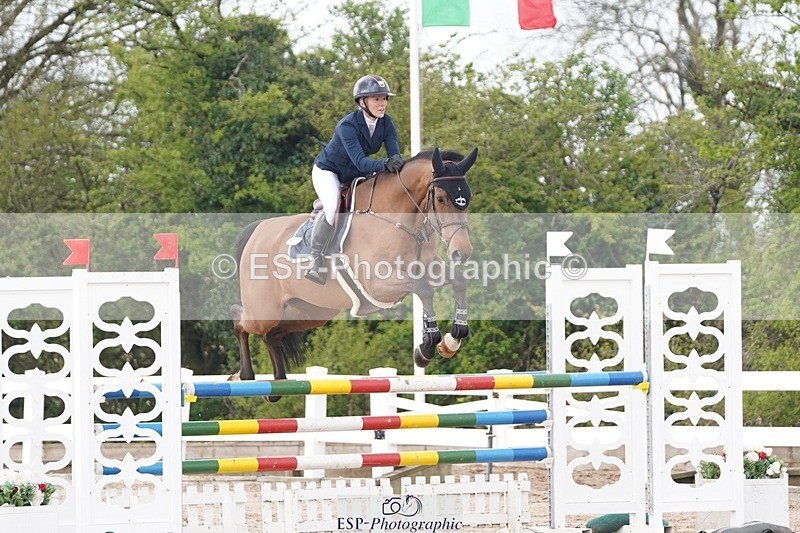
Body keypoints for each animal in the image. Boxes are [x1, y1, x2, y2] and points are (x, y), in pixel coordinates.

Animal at [230, 147, 477, 400]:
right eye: (441, 199)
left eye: (468, 199)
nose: (462, 252)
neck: (400, 220)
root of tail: (257, 230)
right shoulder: (379, 285)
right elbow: (424, 289)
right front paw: (427, 347)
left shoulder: (429, 268)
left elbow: (458, 281)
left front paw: (451, 340)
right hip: (264, 312)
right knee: (239, 319)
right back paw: (244, 375)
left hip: (312, 311)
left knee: (272, 335)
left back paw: (277, 385)